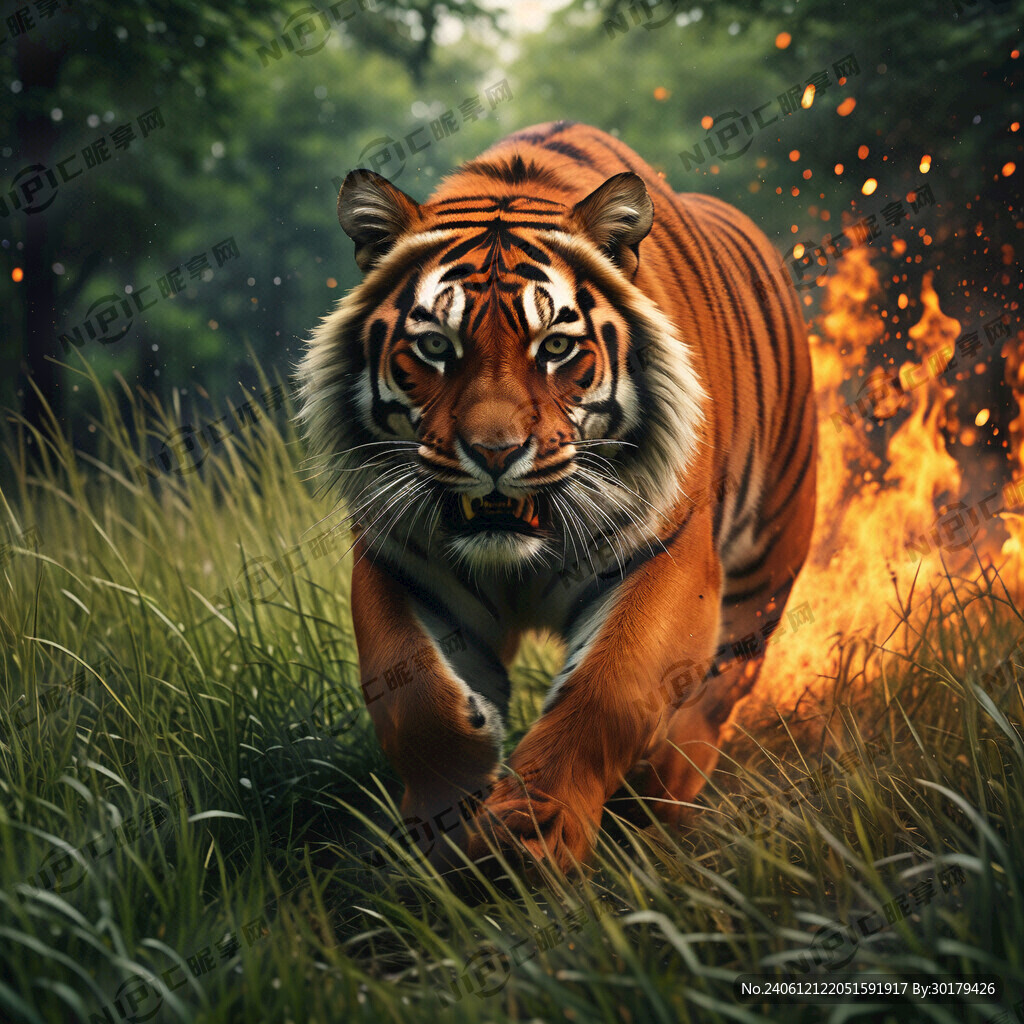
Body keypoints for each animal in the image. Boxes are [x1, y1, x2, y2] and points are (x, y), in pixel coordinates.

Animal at [298, 121, 817, 872]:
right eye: (435, 347)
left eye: (556, 348)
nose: (493, 452)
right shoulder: (398, 560)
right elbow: (413, 696)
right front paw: (451, 825)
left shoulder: (669, 554)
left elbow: (609, 687)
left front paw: (530, 835)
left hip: (766, 562)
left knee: (726, 678)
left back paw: (664, 780)